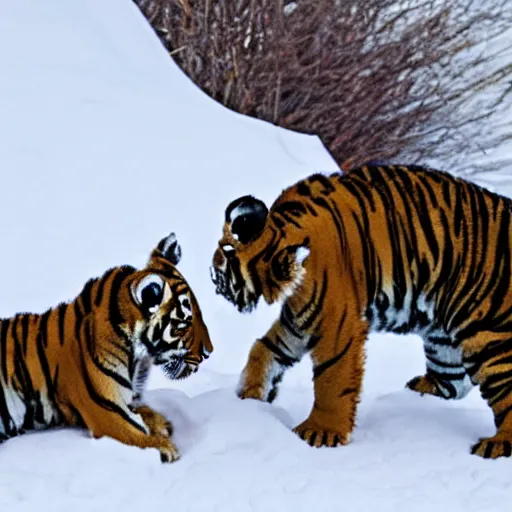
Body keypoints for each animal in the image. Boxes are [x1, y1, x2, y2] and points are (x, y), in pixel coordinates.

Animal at [0, 232, 212, 460]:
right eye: (186, 323)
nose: (209, 352)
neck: (138, 358)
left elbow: (144, 411)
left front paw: (161, 422)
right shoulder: (107, 413)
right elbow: (142, 438)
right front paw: (167, 447)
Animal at [210, 164, 512, 460]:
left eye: (222, 259)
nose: (212, 281)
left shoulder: (335, 323)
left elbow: (331, 379)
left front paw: (318, 433)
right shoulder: (299, 320)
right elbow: (264, 350)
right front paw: (251, 397)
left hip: (486, 333)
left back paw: (496, 445)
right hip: (442, 339)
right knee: (452, 384)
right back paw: (417, 391)